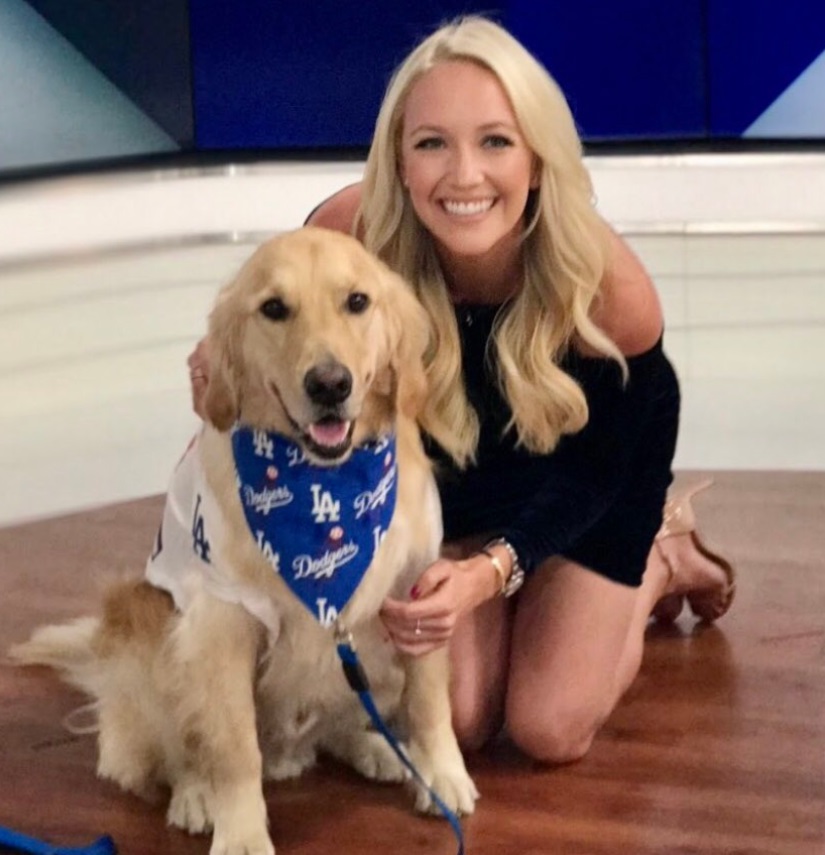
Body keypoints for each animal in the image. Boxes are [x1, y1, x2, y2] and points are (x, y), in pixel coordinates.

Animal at [8, 227, 476, 855]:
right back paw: (196, 796)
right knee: (180, 748)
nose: (330, 384)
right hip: (153, 630)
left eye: (357, 301)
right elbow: (232, 748)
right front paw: (241, 833)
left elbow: (428, 702)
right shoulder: (222, 623)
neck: (323, 484)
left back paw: (376, 747)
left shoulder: (413, 589)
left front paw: (442, 774)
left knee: (343, 720)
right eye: (274, 309)